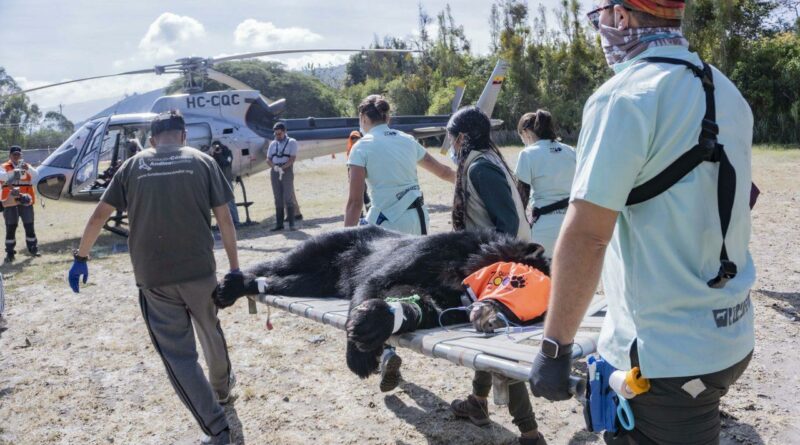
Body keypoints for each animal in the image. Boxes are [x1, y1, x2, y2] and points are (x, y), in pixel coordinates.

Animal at [214, 225, 552, 378]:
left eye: (520, 318)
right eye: (519, 285)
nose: (492, 320)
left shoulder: (444, 302)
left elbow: (417, 304)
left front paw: (376, 323)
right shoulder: (427, 252)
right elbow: (375, 282)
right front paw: (358, 353)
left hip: (314, 280)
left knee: (285, 281)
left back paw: (244, 286)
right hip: (322, 246)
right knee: (278, 264)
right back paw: (230, 285)